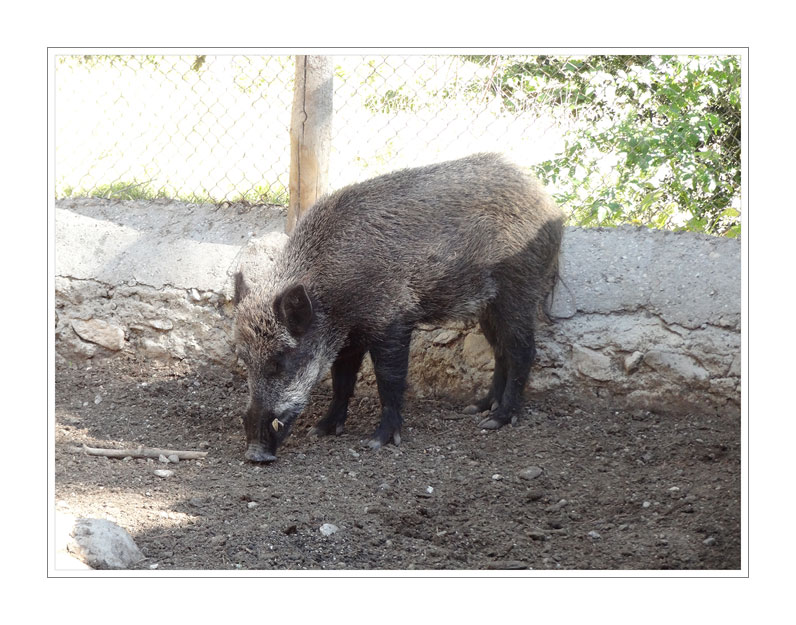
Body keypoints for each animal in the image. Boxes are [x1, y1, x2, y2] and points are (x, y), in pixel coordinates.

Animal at [233, 152, 564, 462]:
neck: (335, 295)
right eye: (245, 360)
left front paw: (377, 441)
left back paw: (497, 420)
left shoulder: (392, 319)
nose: (255, 454)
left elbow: (389, 380)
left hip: (518, 289)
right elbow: (342, 381)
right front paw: (322, 430)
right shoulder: (349, 338)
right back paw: (477, 408)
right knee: (500, 350)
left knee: (522, 349)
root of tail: (549, 203)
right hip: (488, 305)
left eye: (280, 360)